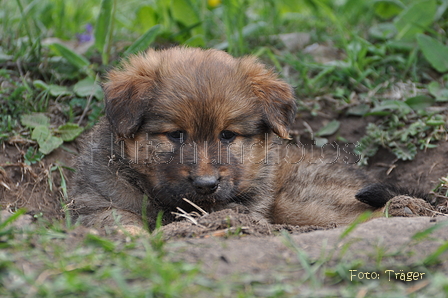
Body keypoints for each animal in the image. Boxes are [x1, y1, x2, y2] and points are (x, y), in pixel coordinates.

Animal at [72, 46, 418, 229]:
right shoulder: (97, 202)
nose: (206, 185)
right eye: (175, 135)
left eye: (228, 135)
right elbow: (118, 219)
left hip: (299, 199)